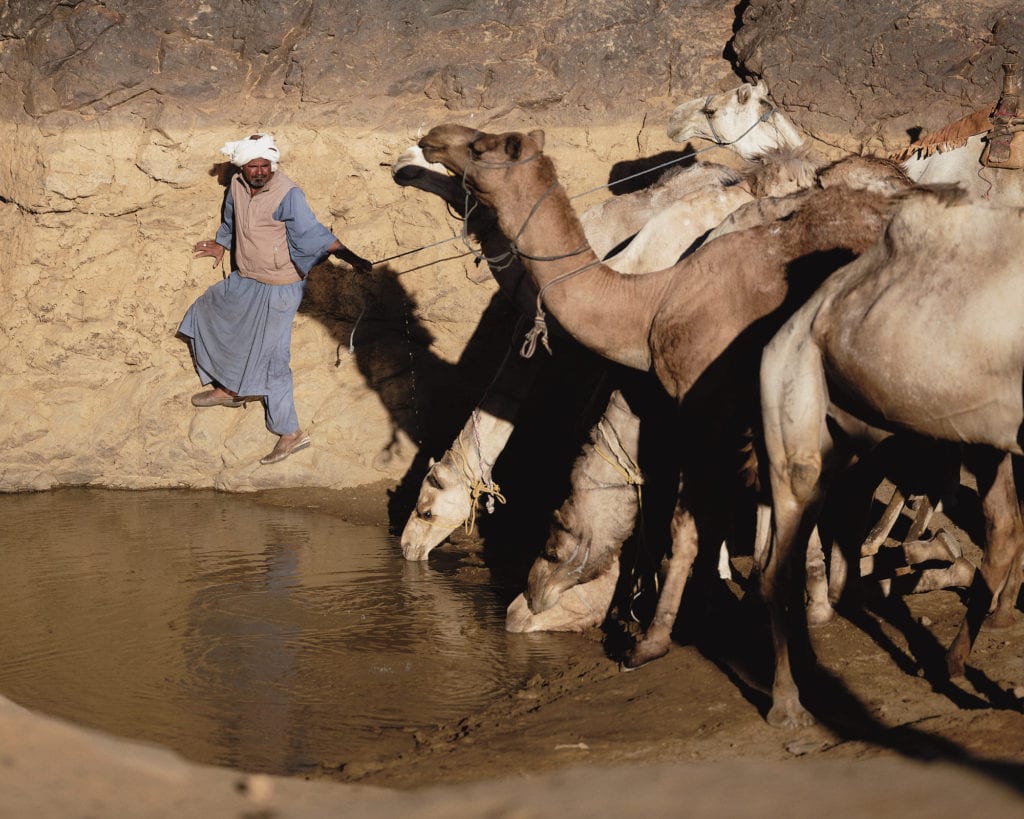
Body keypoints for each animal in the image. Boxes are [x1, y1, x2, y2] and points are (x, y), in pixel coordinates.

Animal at [417, 123, 921, 671]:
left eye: (481, 146)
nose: (433, 137)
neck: (650, 300)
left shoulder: (706, 411)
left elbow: (688, 523)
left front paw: (655, 639)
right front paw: (780, 602)